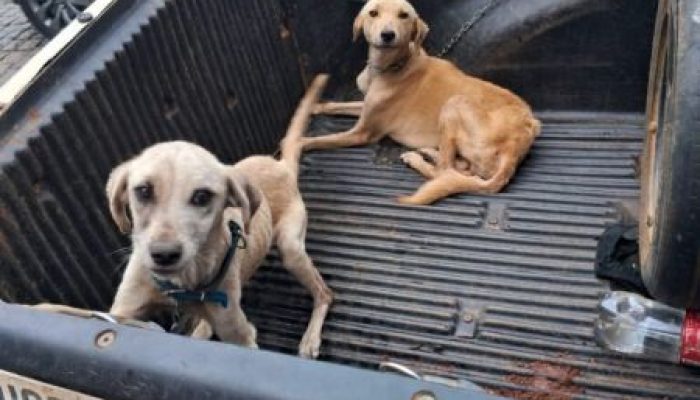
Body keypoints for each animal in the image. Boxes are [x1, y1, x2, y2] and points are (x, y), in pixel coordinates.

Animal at [34, 75, 334, 360]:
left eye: (202, 196)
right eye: (143, 190)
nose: (164, 255)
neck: (180, 287)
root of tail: (281, 165)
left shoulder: (239, 334)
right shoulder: (121, 310)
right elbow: (76, 312)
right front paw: (39, 308)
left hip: (290, 248)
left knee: (325, 293)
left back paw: (310, 338)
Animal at [304, 0, 540, 205]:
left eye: (404, 15)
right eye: (373, 13)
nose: (387, 35)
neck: (390, 67)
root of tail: (517, 144)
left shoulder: (362, 133)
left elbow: (318, 140)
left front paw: (298, 143)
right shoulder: (366, 107)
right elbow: (336, 106)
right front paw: (314, 107)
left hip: (455, 103)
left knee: (444, 172)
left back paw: (417, 158)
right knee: (458, 169)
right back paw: (429, 152)